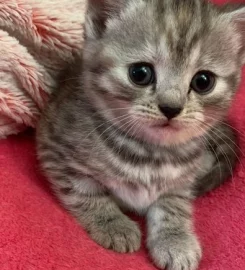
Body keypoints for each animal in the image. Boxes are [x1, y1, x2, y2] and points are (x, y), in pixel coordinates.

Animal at [36, 0, 245, 270]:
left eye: (203, 81)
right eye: (140, 73)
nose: (171, 108)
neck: (151, 152)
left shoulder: (181, 181)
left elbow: (174, 202)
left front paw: (175, 239)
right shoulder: (54, 148)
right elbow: (86, 192)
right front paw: (113, 224)